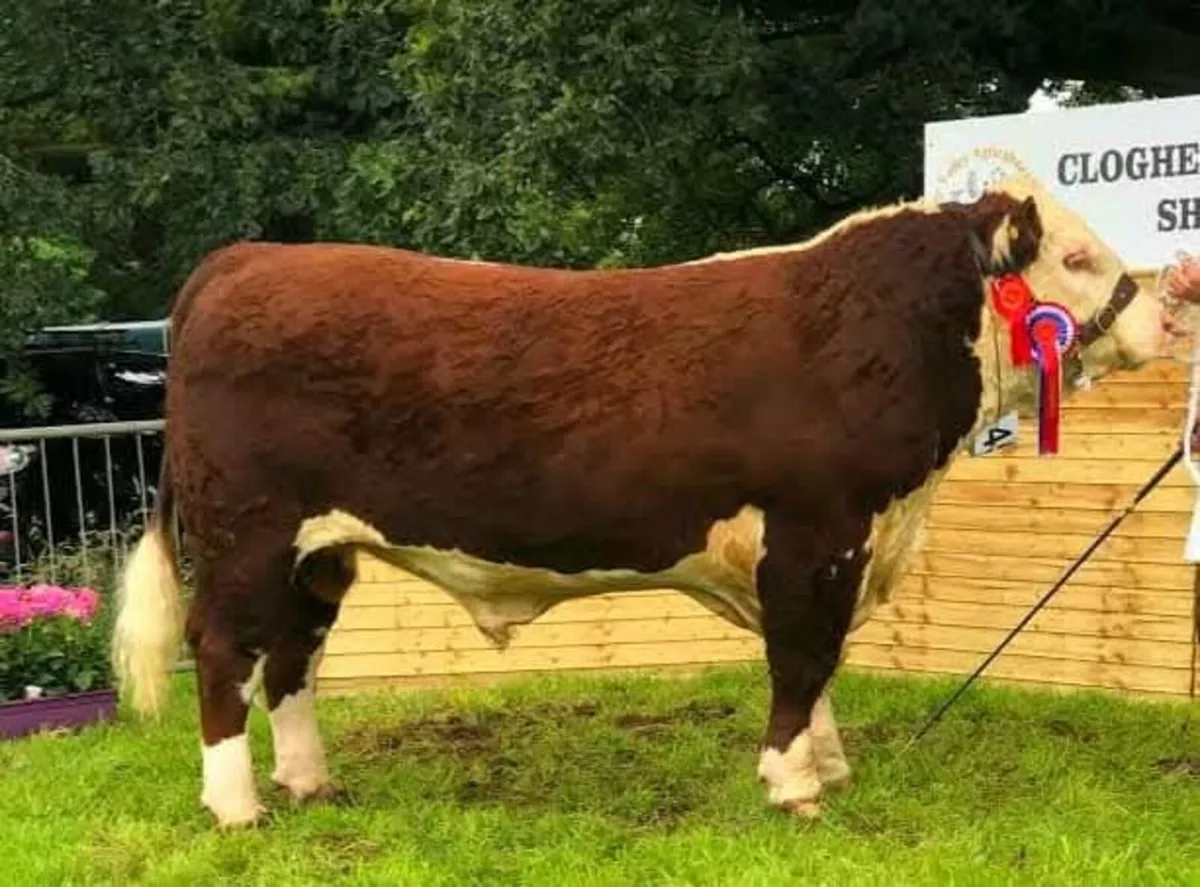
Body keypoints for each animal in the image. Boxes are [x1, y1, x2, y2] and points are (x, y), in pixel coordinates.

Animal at [110, 174, 1167, 829]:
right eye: (1074, 258)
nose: (1164, 314)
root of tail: (246, 258)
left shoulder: (842, 545)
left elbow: (820, 659)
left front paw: (826, 765)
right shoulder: (818, 530)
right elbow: (801, 659)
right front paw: (793, 784)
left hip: (317, 551)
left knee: (293, 656)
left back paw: (310, 783)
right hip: (248, 534)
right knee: (224, 653)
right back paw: (238, 807)